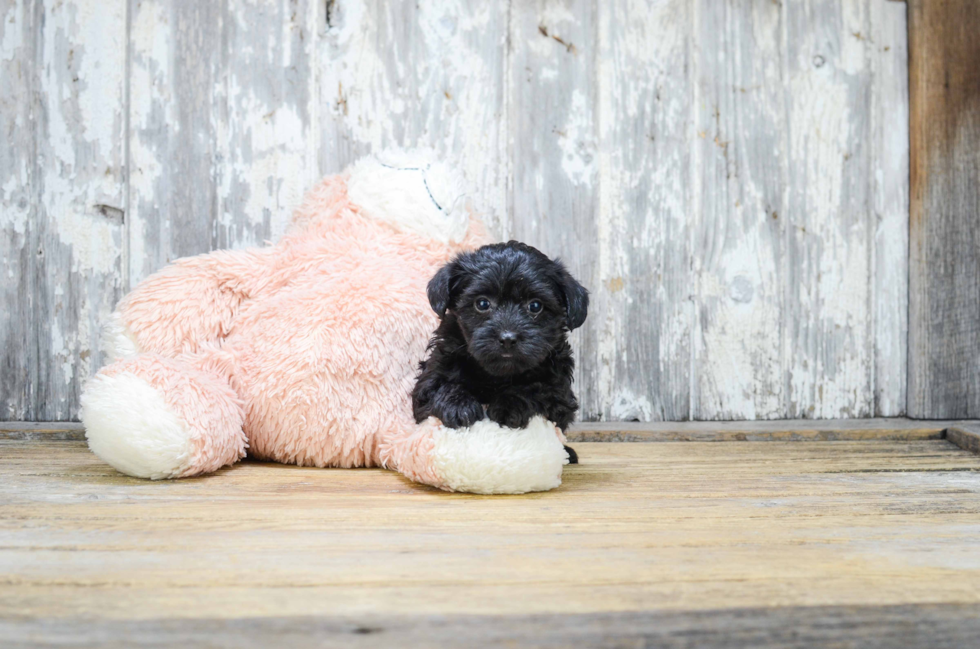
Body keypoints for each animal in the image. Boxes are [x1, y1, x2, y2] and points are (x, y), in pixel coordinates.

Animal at [412, 240, 588, 464]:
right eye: (482, 303)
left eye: (535, 306)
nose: (508, 338)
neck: (496, 375)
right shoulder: (431, 376)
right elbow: (440, 386)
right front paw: (458, 406)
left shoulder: (559, 393)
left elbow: (537, 388)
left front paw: (509, 405)